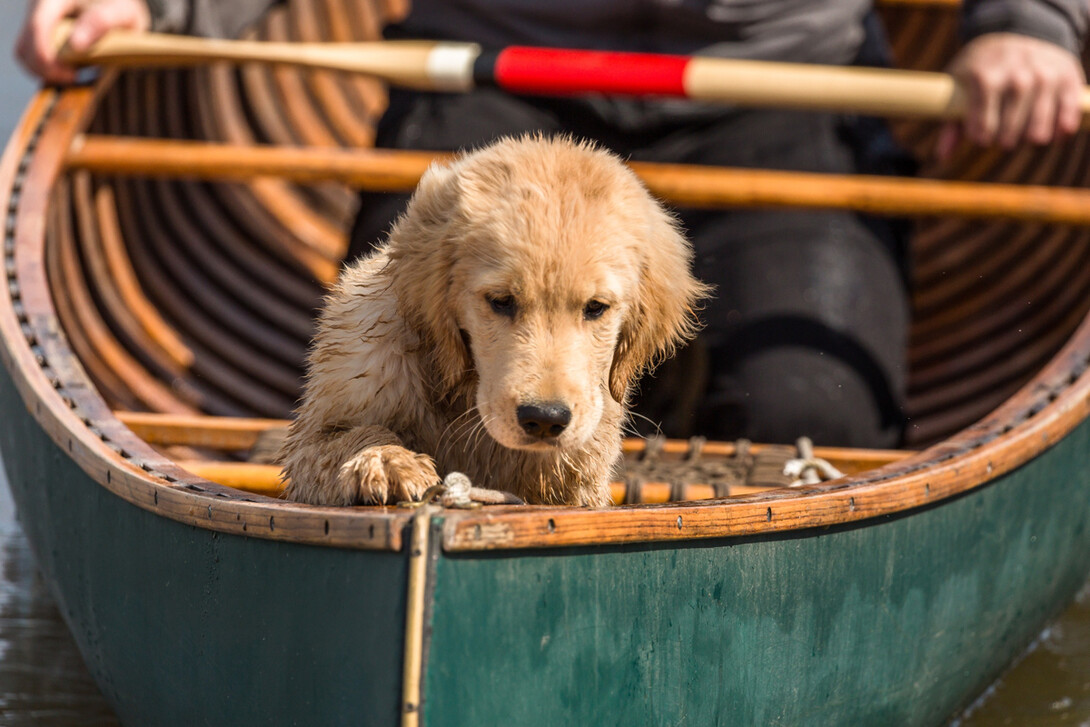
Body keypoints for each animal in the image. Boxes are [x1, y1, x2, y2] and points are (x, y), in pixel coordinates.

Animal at [279, 135, 706, 505]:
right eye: (501, 301)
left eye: (596, 307)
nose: (545, 419)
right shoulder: (325, 421)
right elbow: (352, 435)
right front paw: (386, 458)